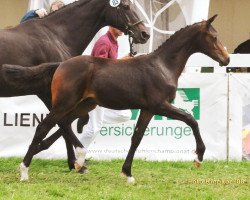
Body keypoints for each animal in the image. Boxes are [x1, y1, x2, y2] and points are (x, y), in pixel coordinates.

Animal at [19, 14, 229, 182]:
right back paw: (24, 170)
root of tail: (60, 65)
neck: (163, 66)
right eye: (214, 37)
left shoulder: (148, 109)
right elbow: (191, 119)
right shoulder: (160, 105)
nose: (226, 59)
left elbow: (136, 138)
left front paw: (127, 173)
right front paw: (198, 157)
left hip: (83, 105)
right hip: (66, 103)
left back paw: (77, 159)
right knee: (44, 126)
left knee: (64, 123)